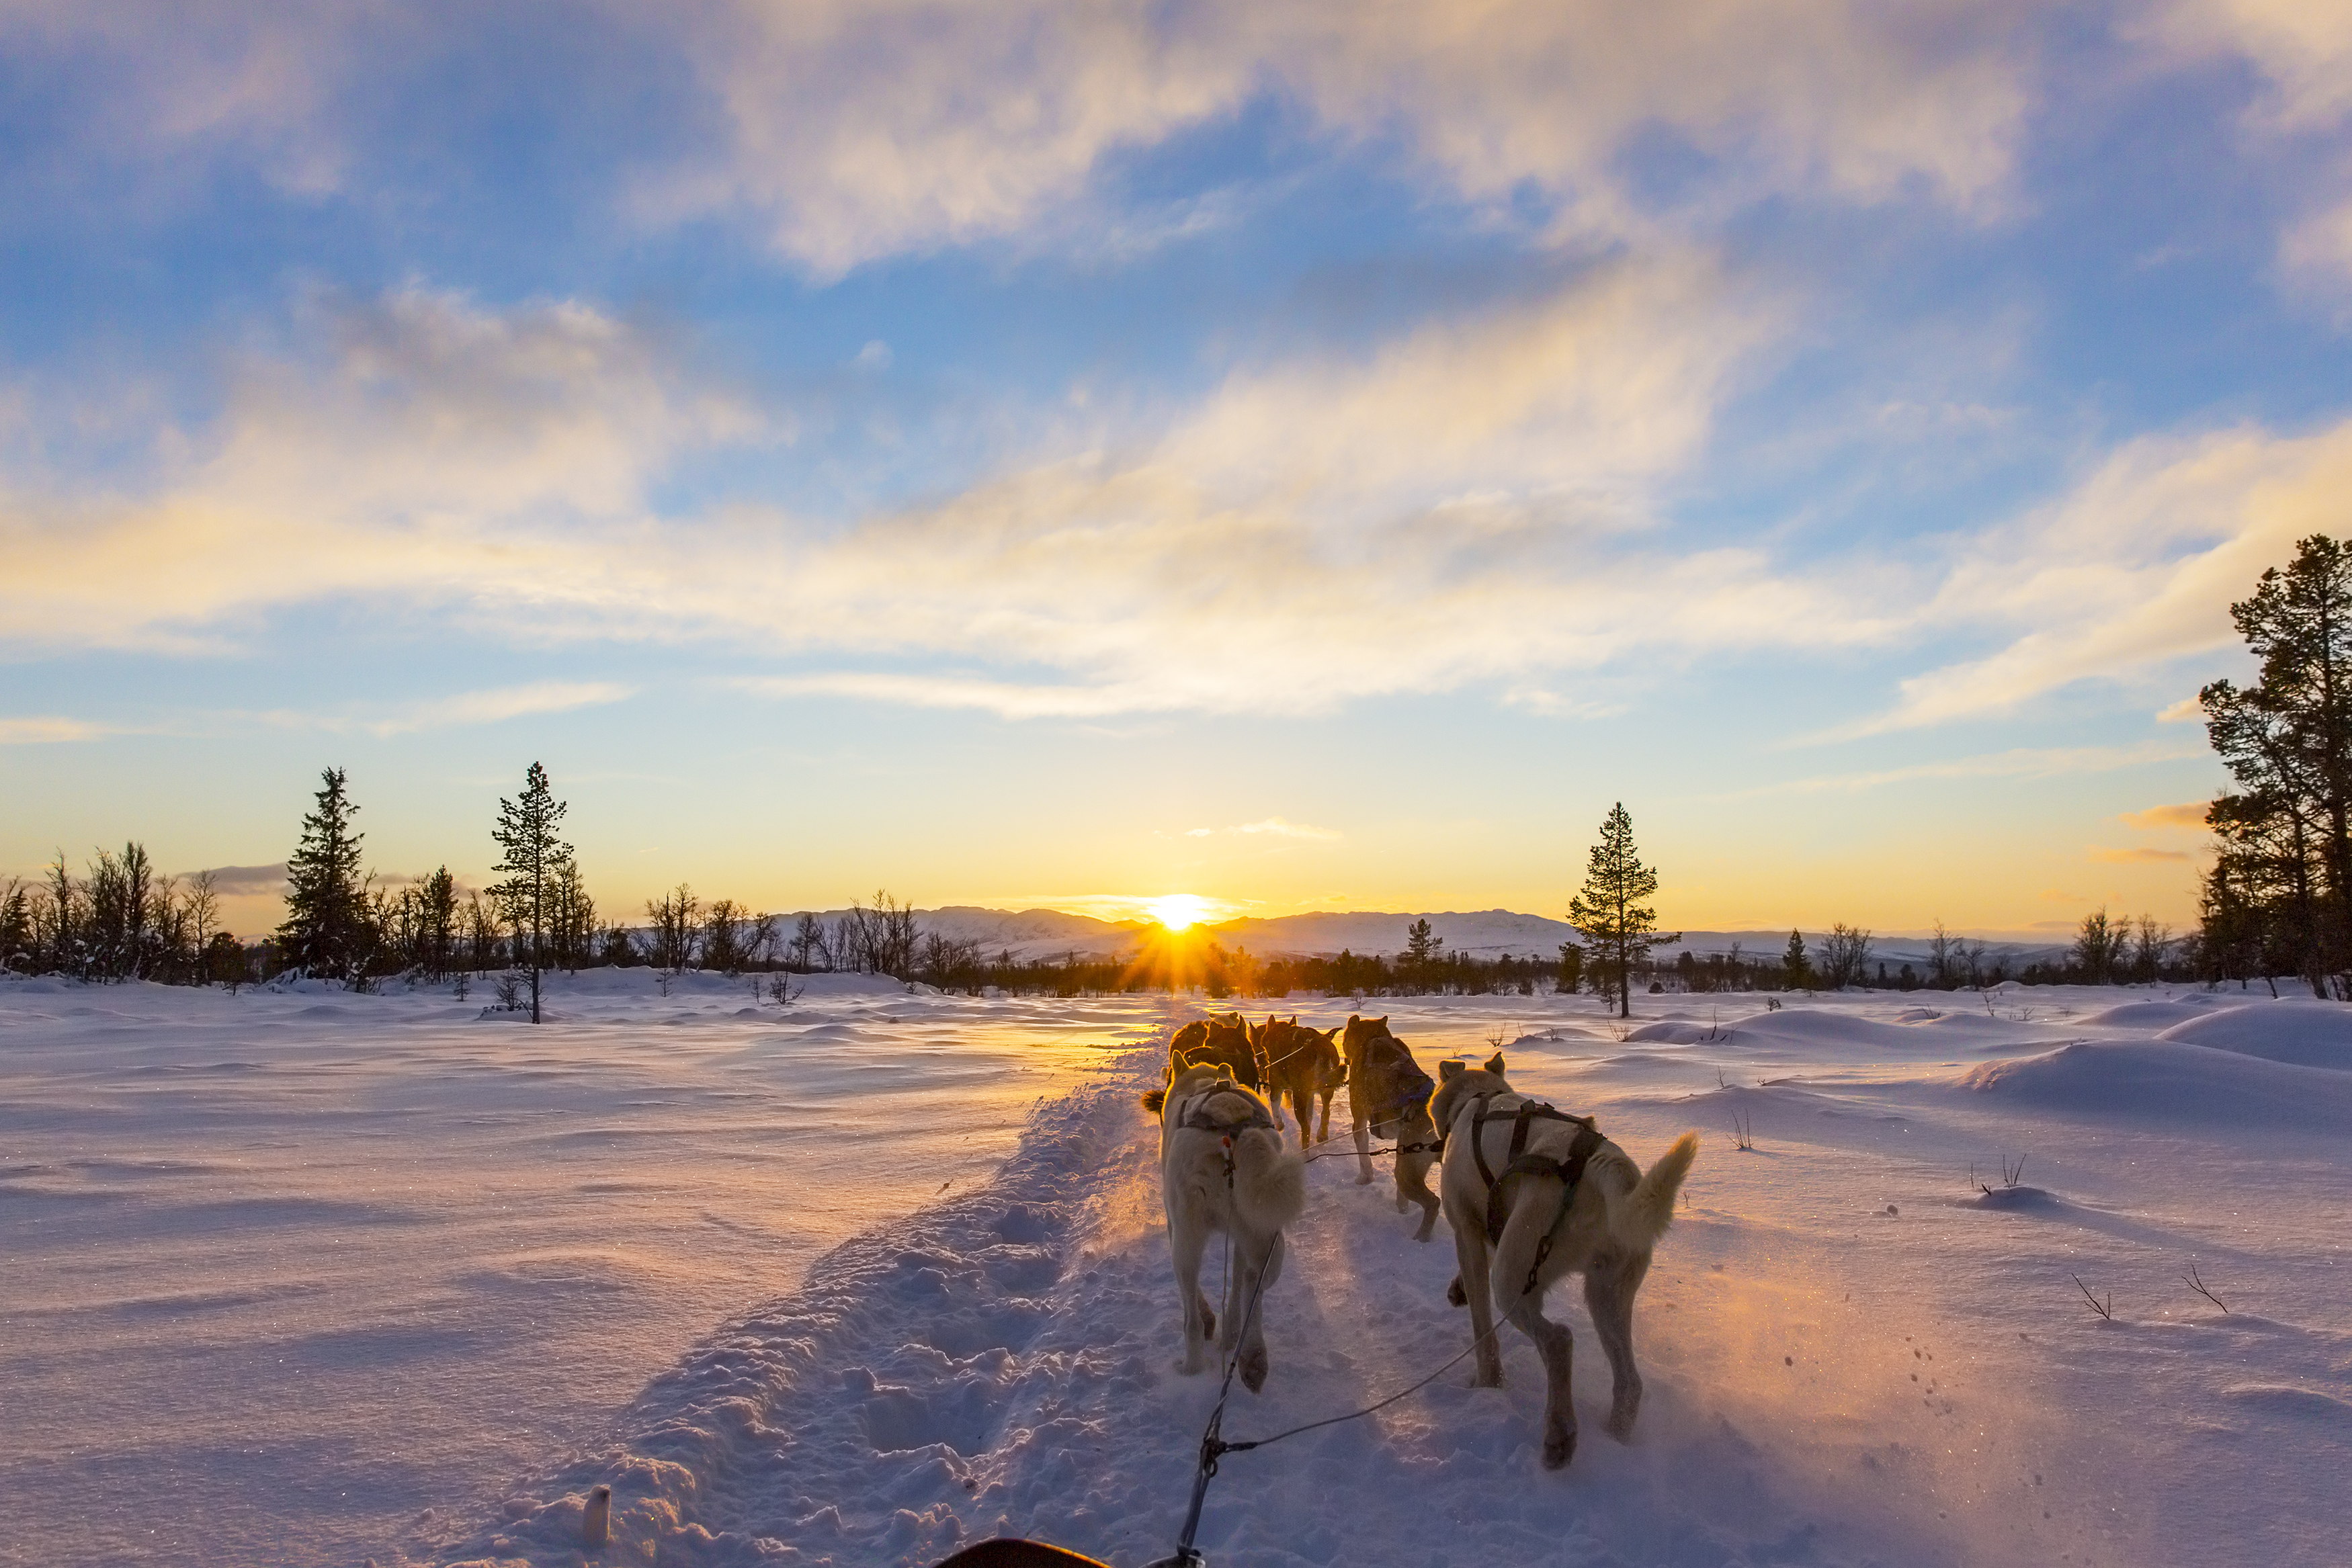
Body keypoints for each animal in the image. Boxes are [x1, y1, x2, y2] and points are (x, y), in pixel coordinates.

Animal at [1138, 1048, 1308, 1391]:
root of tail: (1233, 1133)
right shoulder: (1242, 1240)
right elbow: (1239, 1285)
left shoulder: (1175, 1226)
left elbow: (1198, 1300)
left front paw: (1209, 1322)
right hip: (1265, 1235)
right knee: (1253, 1286)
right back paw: (1251, 1356)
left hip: (1188, 1240)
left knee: (1191, 1314)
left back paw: (1192, 1366)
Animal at [1251, 1010, 1345, 1147]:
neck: (1281, 1034)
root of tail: (1319, 1045)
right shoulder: (1309, 1094)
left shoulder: (1276, 1082)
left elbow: (1275, 1103)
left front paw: (1279, 1124)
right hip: (1326, 1090)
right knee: (1325, 1112)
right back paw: (1322, 1135)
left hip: (1299, 1095)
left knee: (1306, 1128)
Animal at [1430, 1053, 1693, 1476]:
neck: (1478, 1099)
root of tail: (1602, 1166)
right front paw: (1457, 1288)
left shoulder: (1468, 1233)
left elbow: (1483, 1331)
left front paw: (1488, 1384)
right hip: (1607, 1293)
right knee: (1629, 1382)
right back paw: (1615, 1438)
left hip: (1514, 1280)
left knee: (1559, 1340)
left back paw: (1559, 1435)